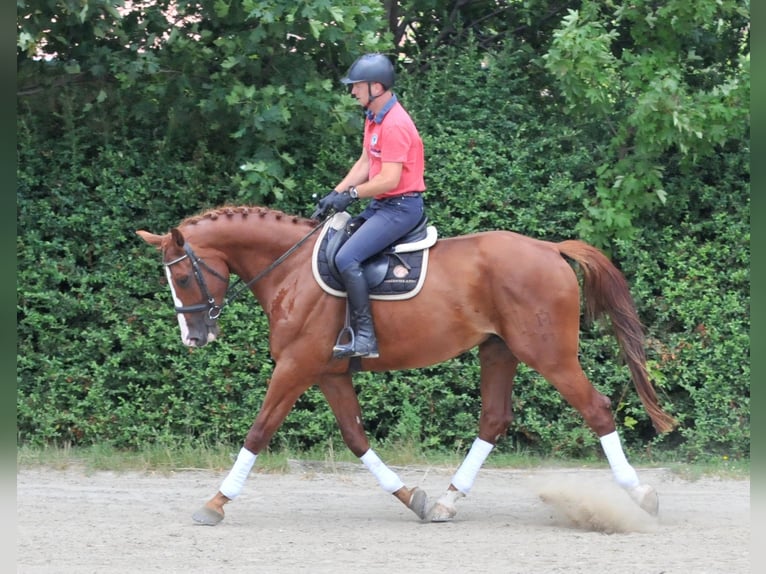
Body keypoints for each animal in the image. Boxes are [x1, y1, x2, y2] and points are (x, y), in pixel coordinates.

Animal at [138, 206, 680, 528]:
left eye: (182, 277)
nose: (194, 338)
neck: (289, 269)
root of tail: (549, 249)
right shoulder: (328, 373)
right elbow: (356, 437)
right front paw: (411, 497)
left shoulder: (295, 367)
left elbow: (258, 430)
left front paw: (216, 502)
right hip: (498, 351)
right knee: (493, 420)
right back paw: (447, 500)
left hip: (548, 355)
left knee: (597, 409)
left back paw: (641, 495)